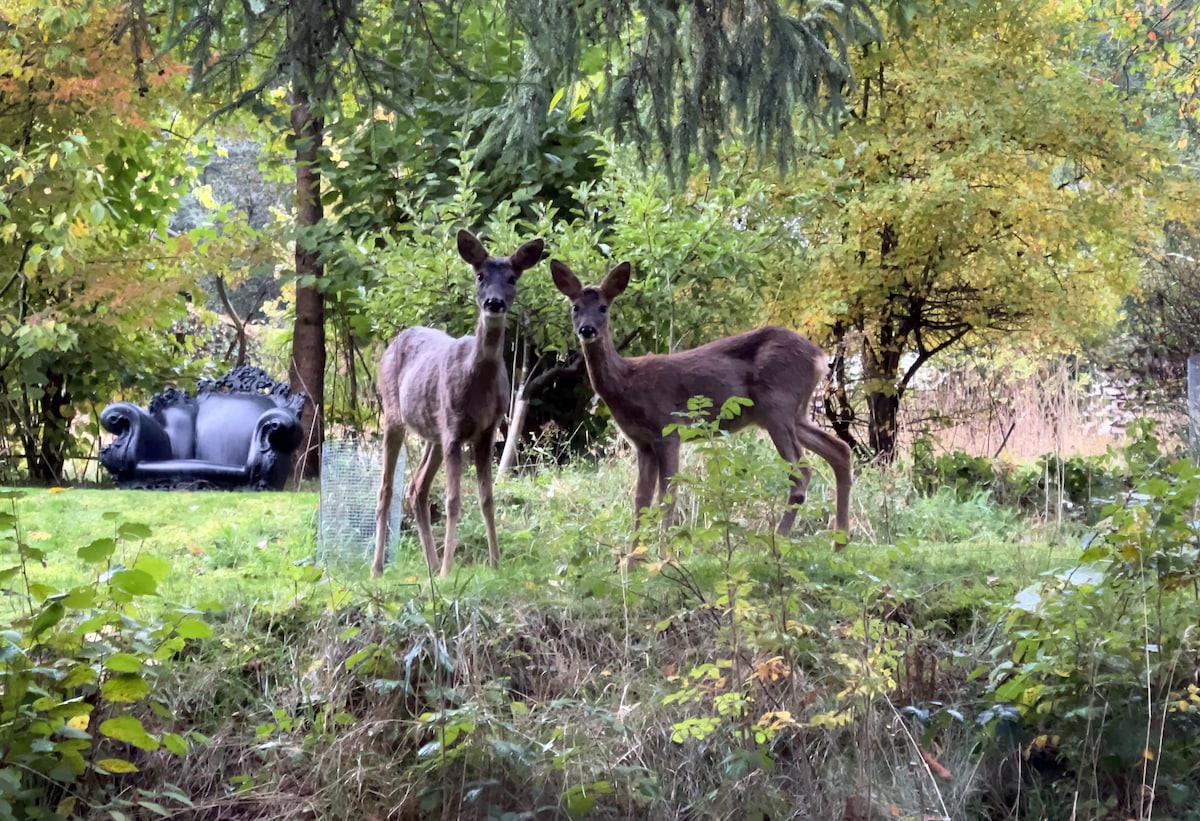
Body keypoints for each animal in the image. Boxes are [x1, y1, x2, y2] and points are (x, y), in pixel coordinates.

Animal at [372, 230, 547, 576]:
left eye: (512, 278)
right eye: (480, 276)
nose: (494, 302)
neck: (476, 380)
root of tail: (393, 342)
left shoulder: (487, 431)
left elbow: (487, 498)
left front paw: (495, 563)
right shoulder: (453, 430)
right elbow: (453, 500)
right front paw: (448, 571)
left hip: (433, 434)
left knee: (416, 487)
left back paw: (430, 564)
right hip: (395, 416)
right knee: (386, 489)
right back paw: (378, 569)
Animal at [552, 258, 854, 544]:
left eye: (604, 307)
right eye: (575, 307)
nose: (587, 329)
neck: (627, 383)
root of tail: (818, 357)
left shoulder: (667, 429)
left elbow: (668, 496)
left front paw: (663, 554)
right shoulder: (642, 443)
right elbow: (640, 502)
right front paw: (633, 559)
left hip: (777, 404)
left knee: (802, 472)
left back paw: (778, 544)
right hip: (795, 412)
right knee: (839, 450)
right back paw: (839, 544)